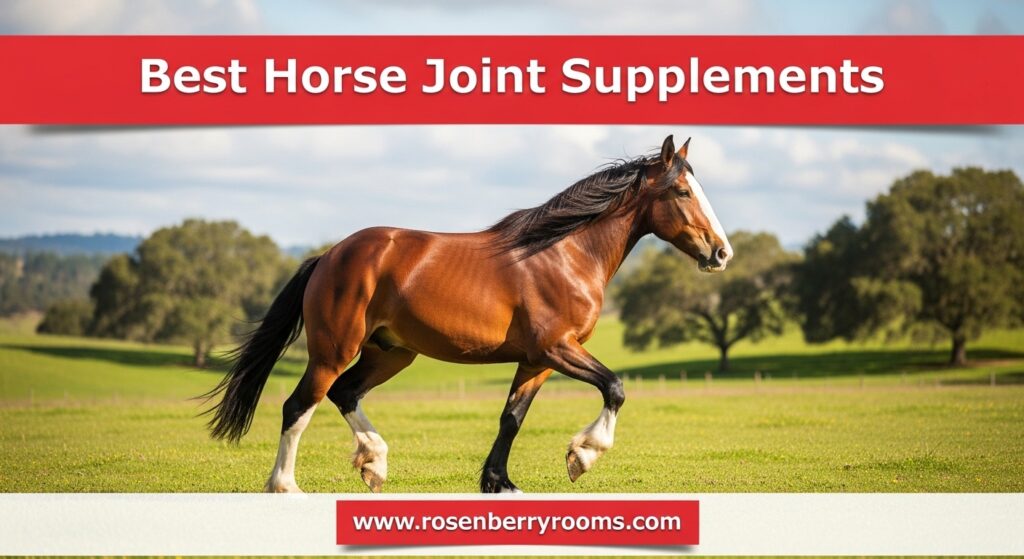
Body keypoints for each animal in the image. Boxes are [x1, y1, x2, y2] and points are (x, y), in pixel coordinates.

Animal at [203, 134, 733, 493]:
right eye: (682, 192)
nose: (722, 252)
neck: (564, 254)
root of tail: (330, 255)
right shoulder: (557, 348)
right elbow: (615, 387)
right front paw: (581, 456)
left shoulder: (536, 361)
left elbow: (511, 418)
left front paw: (500, 482)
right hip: (333, 349)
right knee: (300, 405)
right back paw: (285, 486)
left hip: (390, 353)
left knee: (344, 393)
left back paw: (375, 462)